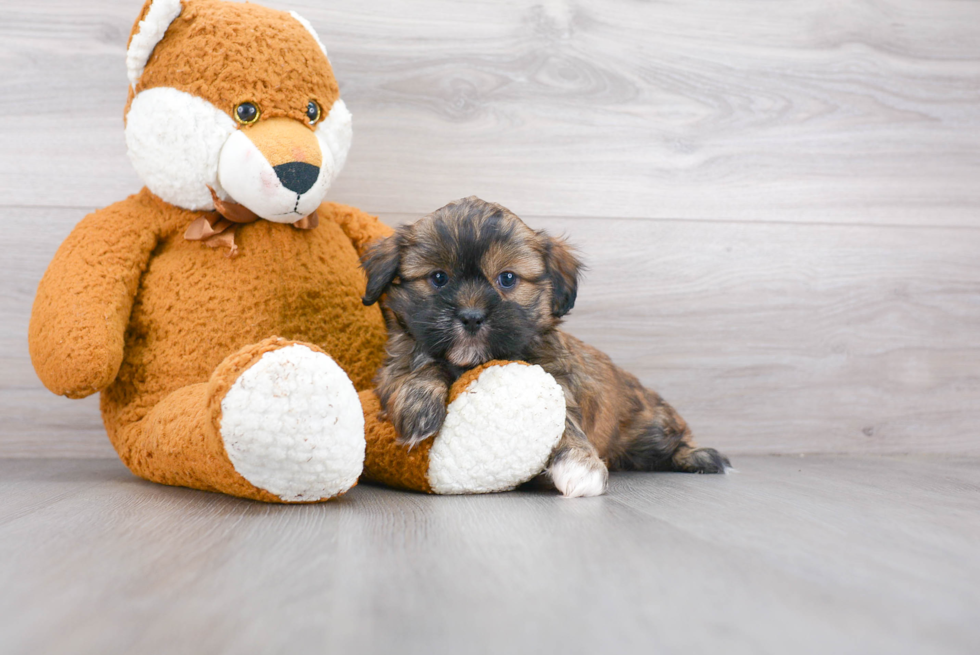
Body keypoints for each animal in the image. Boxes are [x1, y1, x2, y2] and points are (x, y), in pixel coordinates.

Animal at [360, 195, 728, 498]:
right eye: (439, 278)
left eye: (507, 279)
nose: (472, 316)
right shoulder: (395, 363)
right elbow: (418, 366)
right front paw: (419, 406)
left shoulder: (555, 379)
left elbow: (564, 418)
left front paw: (580, 464)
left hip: (650, 425)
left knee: (671, 441)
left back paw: (701, 457)